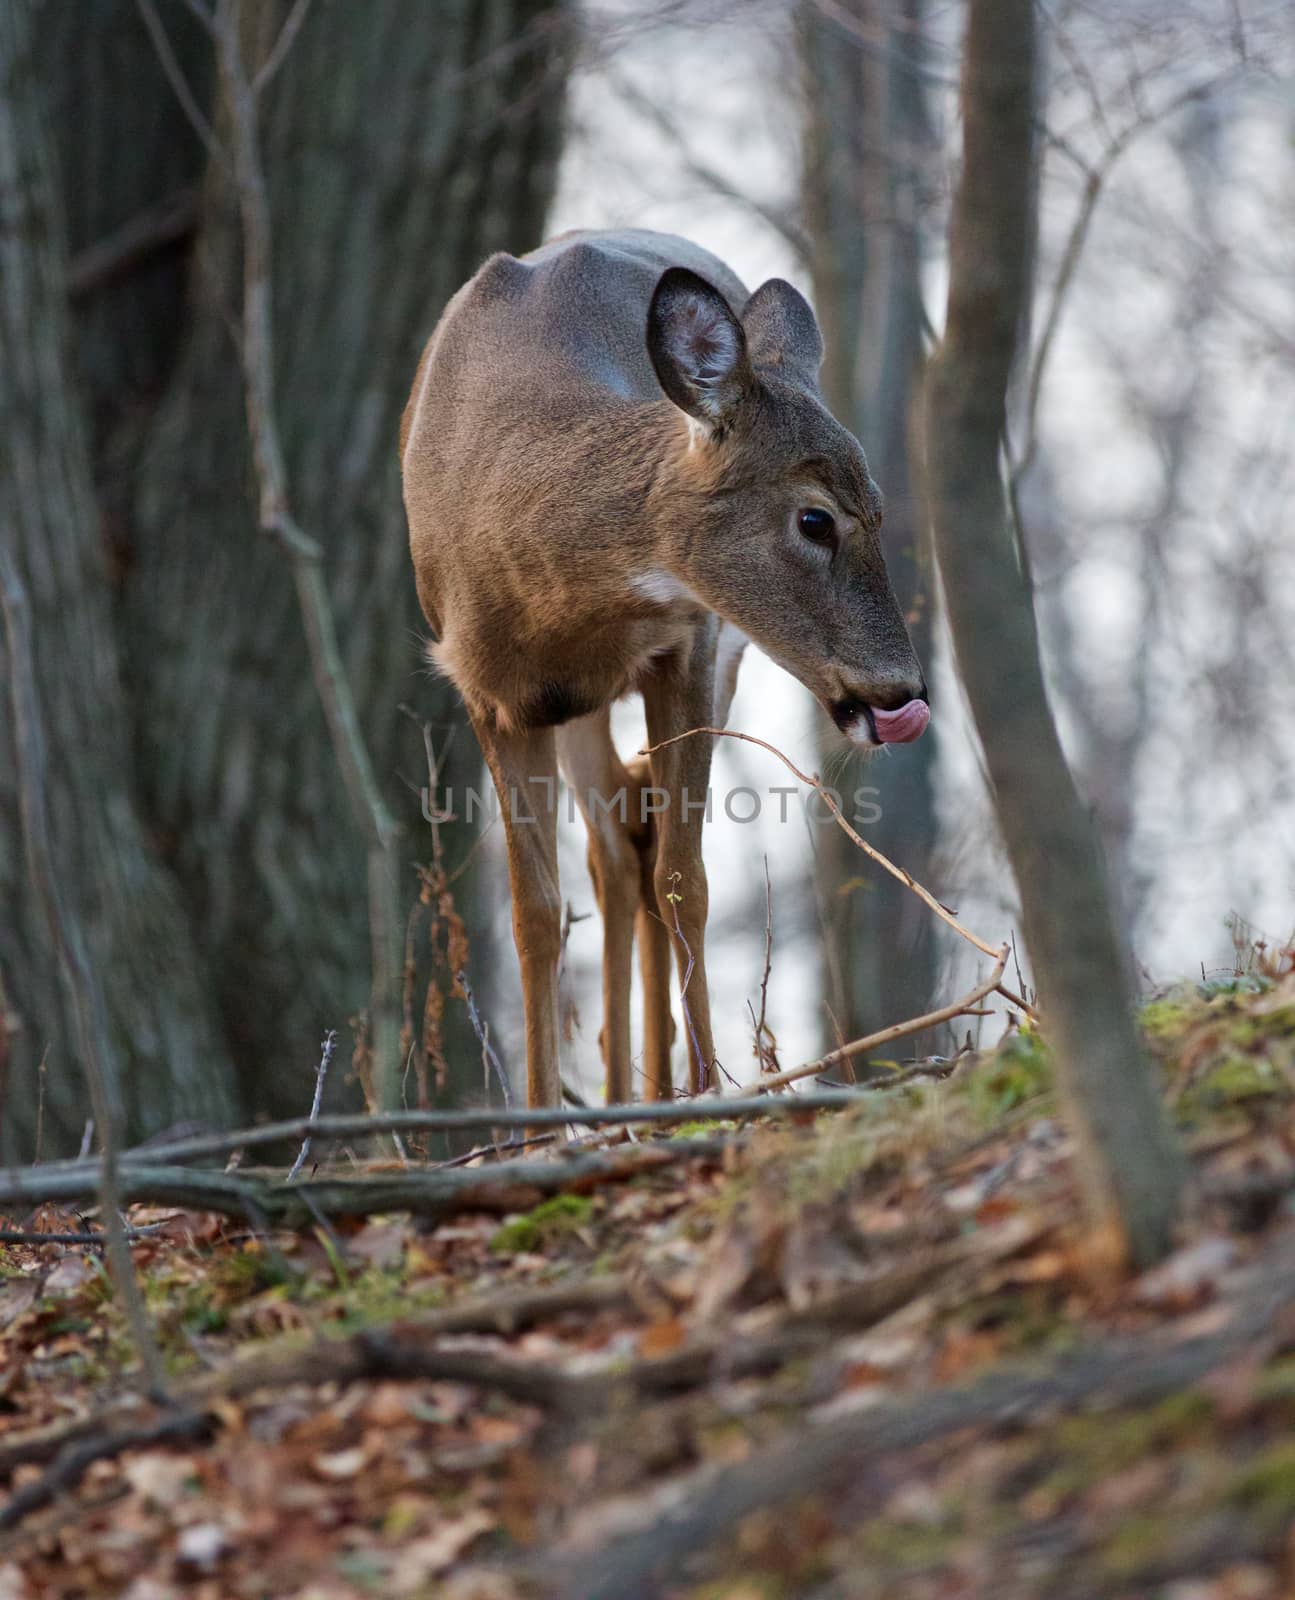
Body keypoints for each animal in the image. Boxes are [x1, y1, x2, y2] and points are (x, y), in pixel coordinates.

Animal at [398, 228, 922, 1113]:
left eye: (880, 508)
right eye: (815, 519)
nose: (902, 690)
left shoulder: (690, 644)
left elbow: (687, 877)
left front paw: (707, 1091)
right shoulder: (485, 686)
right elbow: (535, 911)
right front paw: (539, 1125)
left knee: (635, 841)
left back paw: (647, 1091)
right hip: (570, 706)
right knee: (612, 847)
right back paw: (616, 1095)